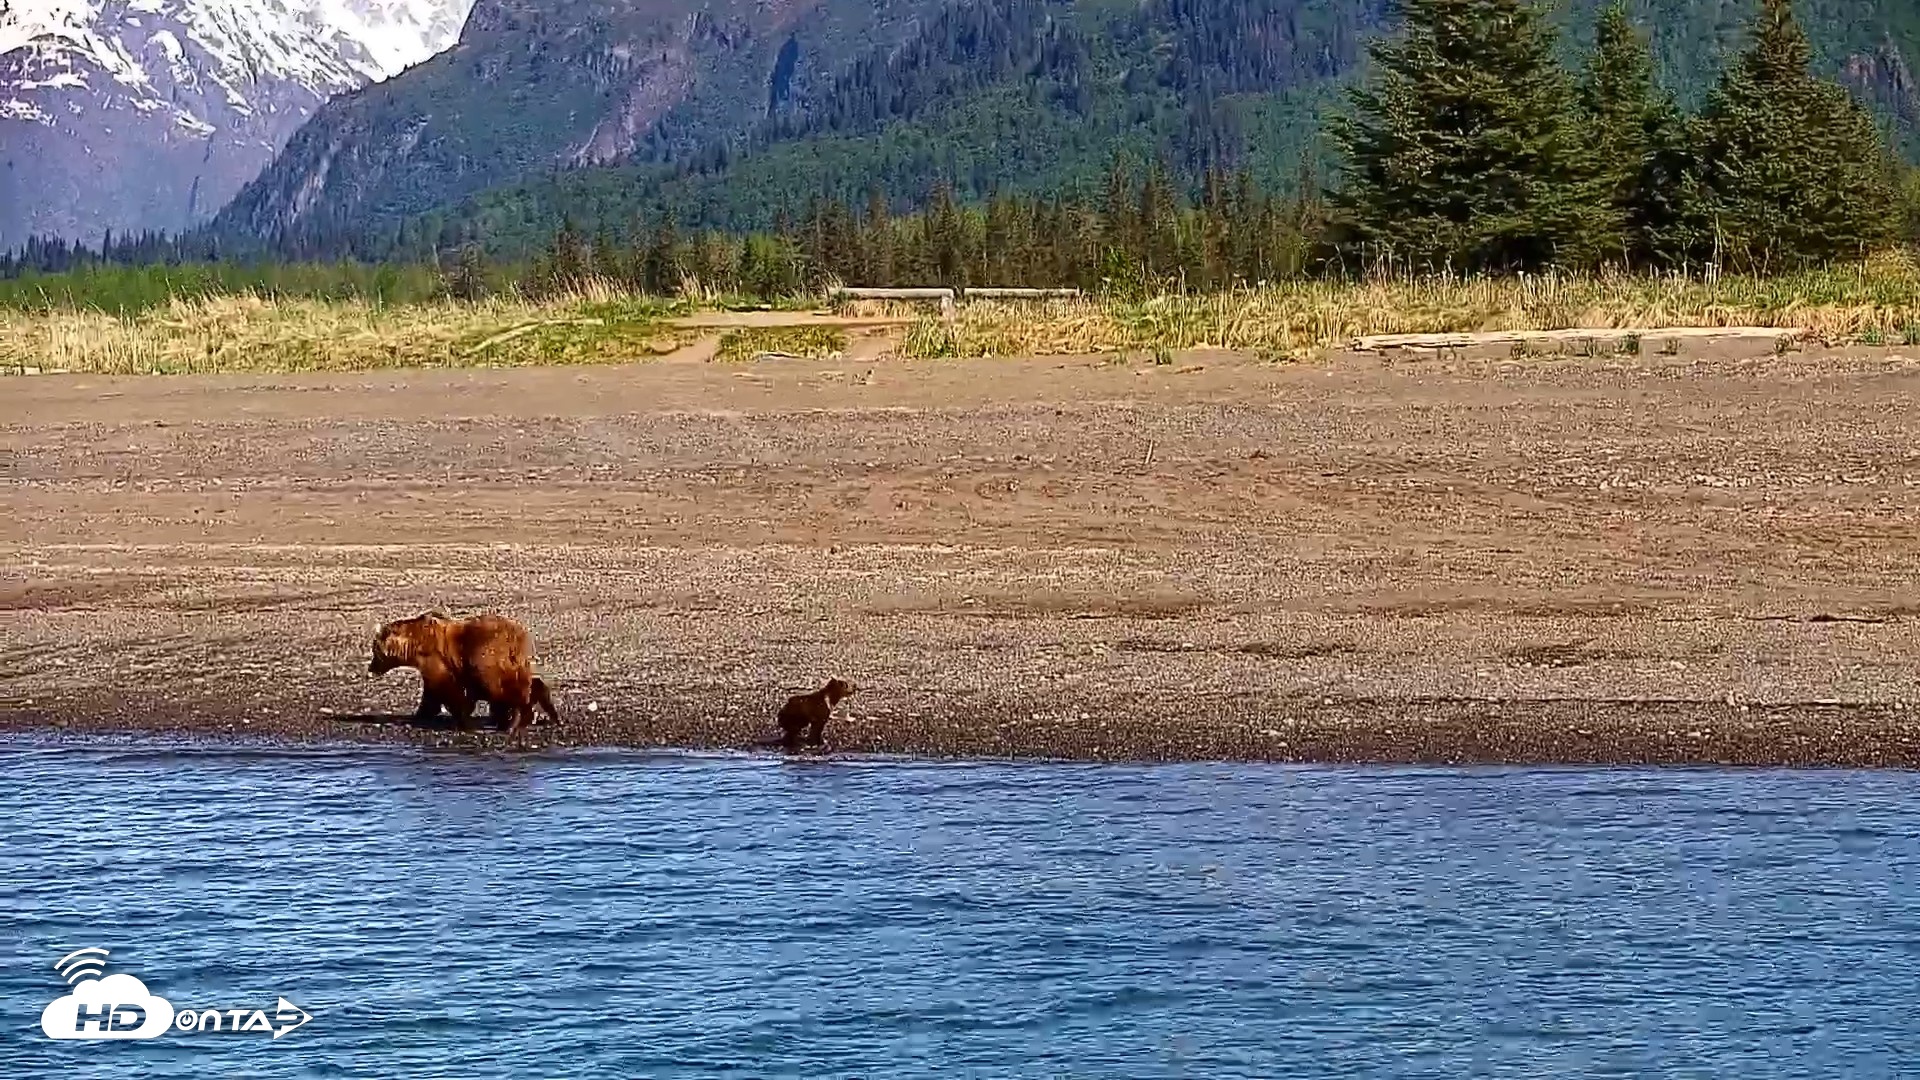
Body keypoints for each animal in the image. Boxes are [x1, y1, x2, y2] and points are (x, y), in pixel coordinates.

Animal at [368, 611, 558, 738]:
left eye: (375, 650)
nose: (371, 668)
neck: (414, 645)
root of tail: (521, 636)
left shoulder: (437, 661)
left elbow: (448, 690)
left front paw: (462, 721)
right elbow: (434, 693)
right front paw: (422, 714)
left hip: (487, 656)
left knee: (505, 688)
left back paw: (513, 722)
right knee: (524, 684)